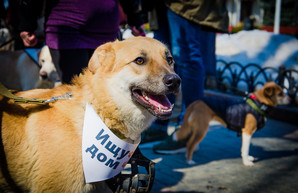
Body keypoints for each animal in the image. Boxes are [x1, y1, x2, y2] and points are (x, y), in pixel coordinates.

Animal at [157, 81, 290, 166]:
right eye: (281, 94)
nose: (291, 99)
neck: (259, 103)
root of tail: (195, 103)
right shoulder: (247, 132)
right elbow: (245, 148)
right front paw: (246, 162)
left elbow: (245, 148)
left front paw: (248, 158)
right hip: (202, 129)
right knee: (190, 143)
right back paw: (189, 160)